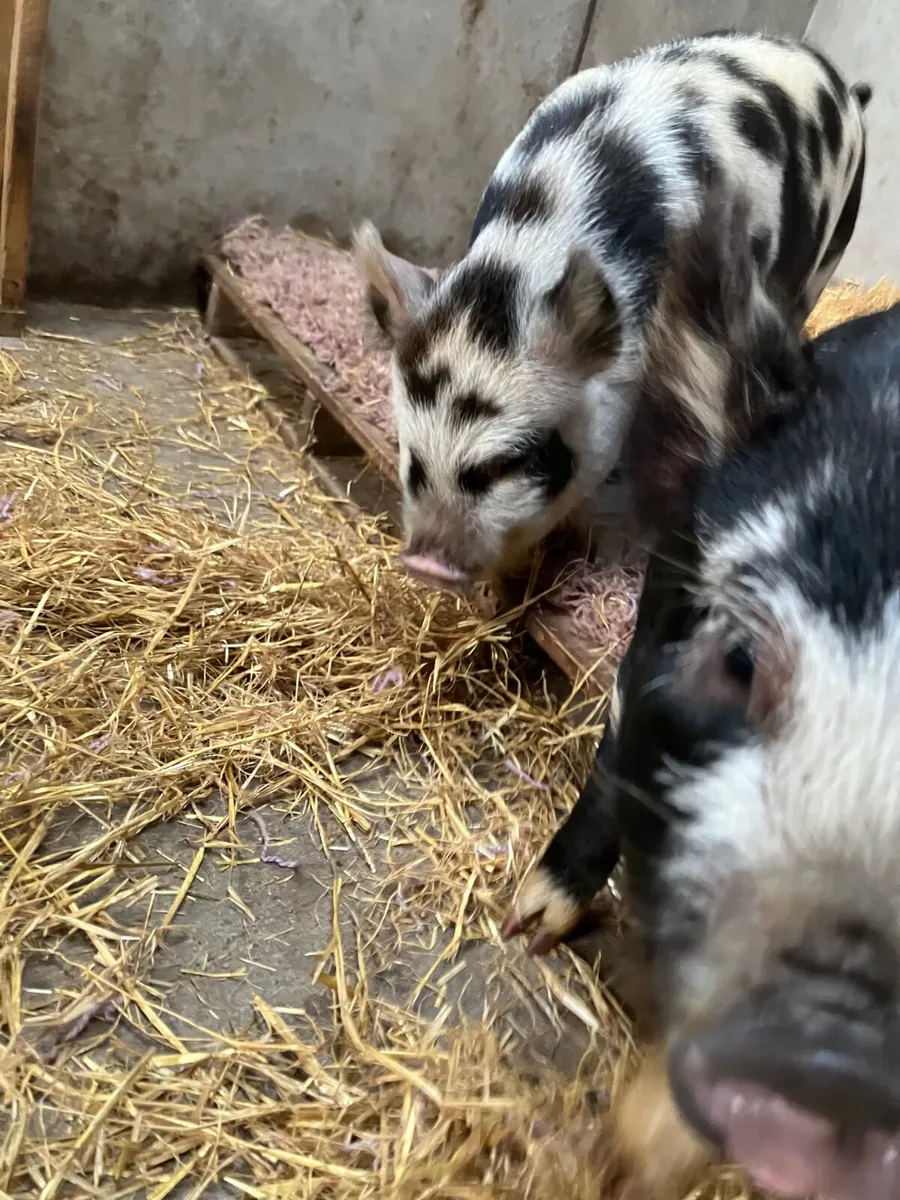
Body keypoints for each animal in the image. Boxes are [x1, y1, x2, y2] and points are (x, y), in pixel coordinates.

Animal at [352, 31, 871, 591]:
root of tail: (842, 82)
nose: (425, 564)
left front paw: (613, 551)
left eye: (519, 457)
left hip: (833, 245)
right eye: (413, 458)